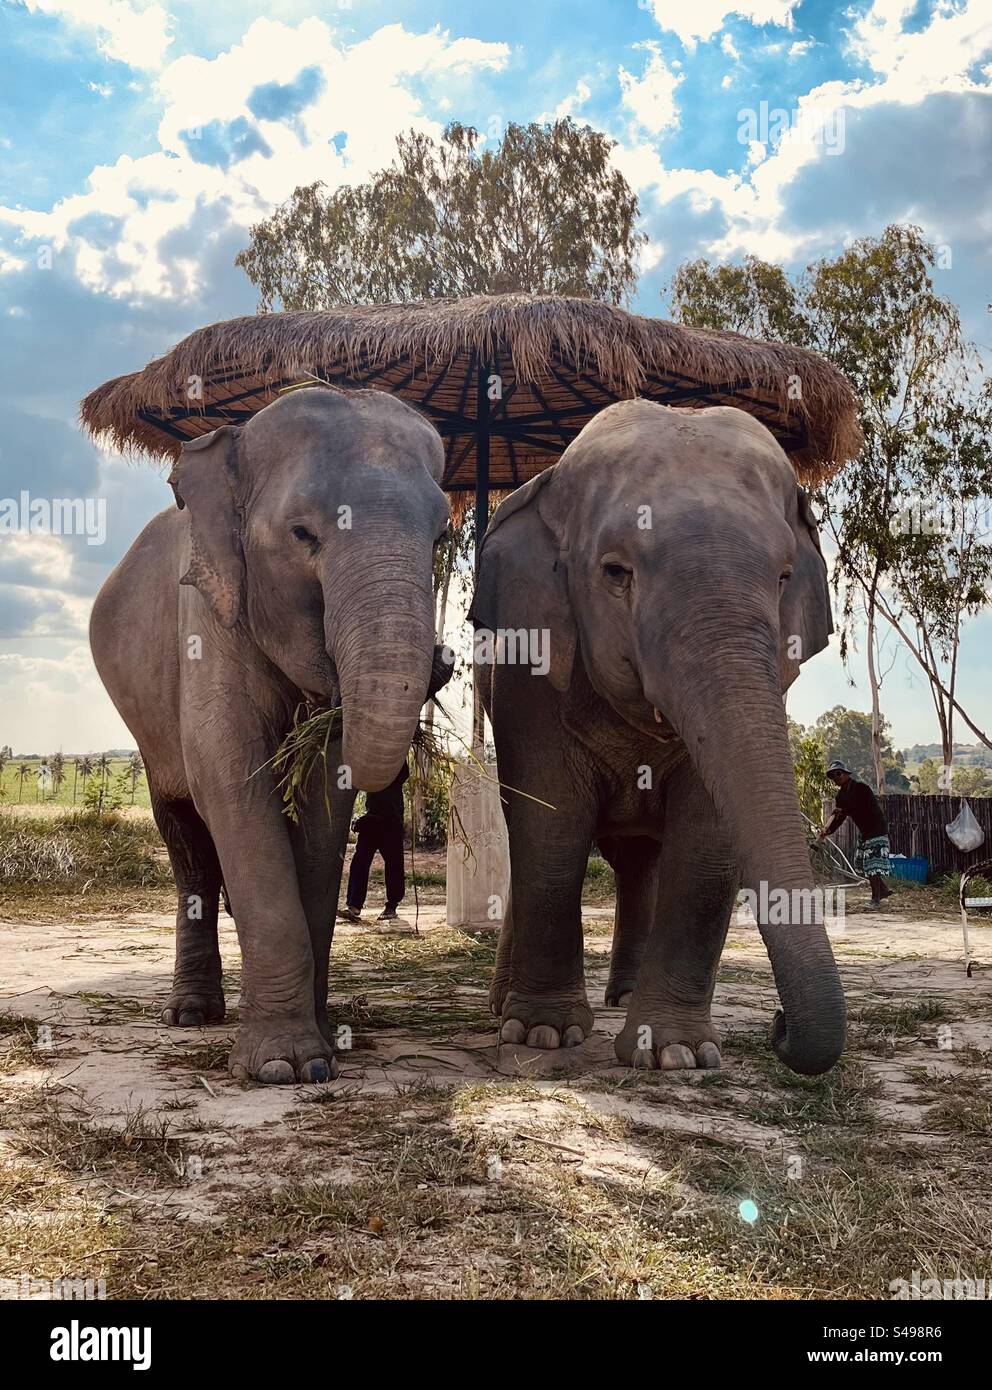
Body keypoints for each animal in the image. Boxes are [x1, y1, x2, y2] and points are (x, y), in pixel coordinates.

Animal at [90, 386, 449, 1083]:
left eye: (442, 534)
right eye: (303, 534)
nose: (444, 662)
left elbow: (323, 799)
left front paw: (320, 1048)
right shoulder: (207, 613)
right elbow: (229, 778)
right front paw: (284, 1067)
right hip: (145, 726)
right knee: (186, 841)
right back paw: (190, 1016)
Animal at [470, 398, 845, 1076]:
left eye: (783, 577)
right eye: (616, 572)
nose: (778, 1027)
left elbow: (708, 834)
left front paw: (678, 1054)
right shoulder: (527, 673)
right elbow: (550, 821)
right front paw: (542, 1035)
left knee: (638, 860)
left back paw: (623, 998)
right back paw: (506, 1009)